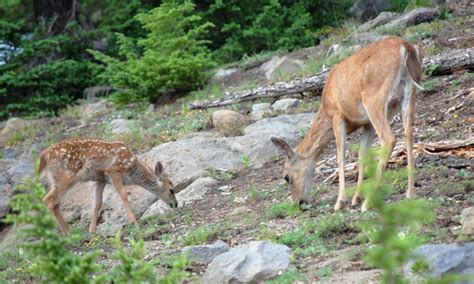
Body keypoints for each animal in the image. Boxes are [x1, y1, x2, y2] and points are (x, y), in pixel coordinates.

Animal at [39, 137, 178, 233]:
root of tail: (45, 154)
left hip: (57, 179)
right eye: (171, 190)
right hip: (65, 178)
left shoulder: (101, 180)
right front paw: (134, 222)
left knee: (54, 203)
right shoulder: (114, 170)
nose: (176, 204)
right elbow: (123, 194)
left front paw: (92, 230)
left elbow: (97, 203)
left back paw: (68, 233)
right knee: (48, 201)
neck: (132, 169)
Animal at [272, 36, 424, 211]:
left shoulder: (337, 115)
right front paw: (356, 197)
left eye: (286, 176)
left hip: (374, 98)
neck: (325, 108)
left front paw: (341, 201)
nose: (298, 203)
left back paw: (368, 203)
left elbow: (341, 156)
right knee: (409, 134)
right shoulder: (366, 123)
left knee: (389, 139)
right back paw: (410, 194)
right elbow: (362, 155)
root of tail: (405, 46)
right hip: (410, 93)